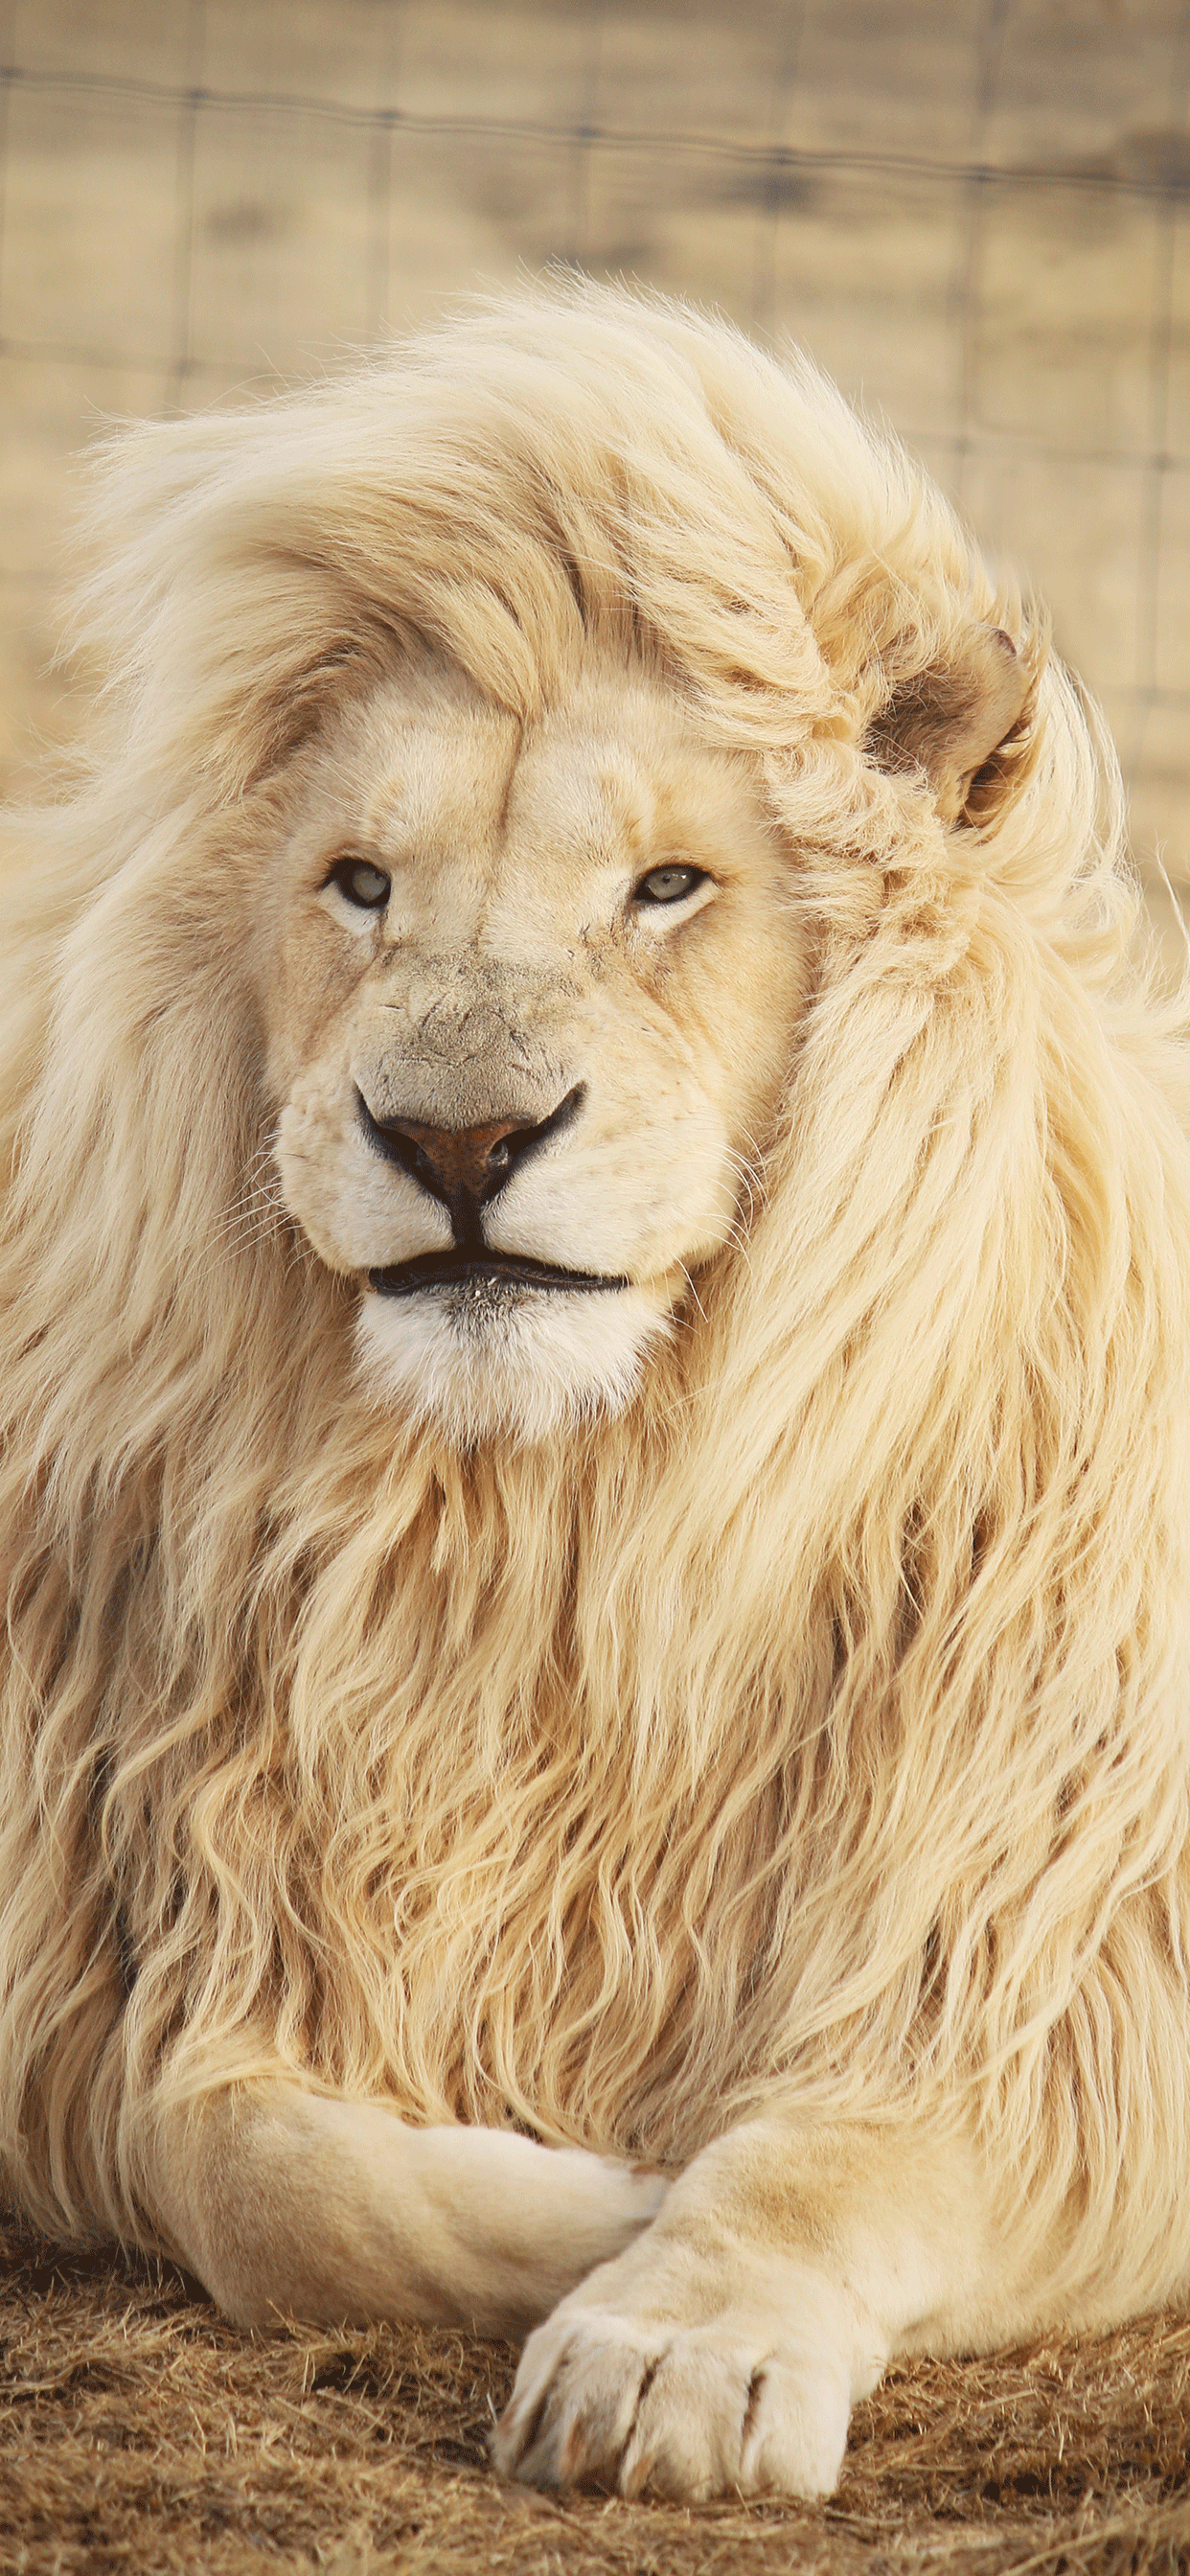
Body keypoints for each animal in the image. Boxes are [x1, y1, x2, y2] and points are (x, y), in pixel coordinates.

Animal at [3, 280, 1190, 2507]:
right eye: (360, 884)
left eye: (667, 888)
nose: (456, 1140)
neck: (556, 1529)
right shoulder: (116, 1953)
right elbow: (244, 2161)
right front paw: (591, 2204)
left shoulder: (1063, 1955)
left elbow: (833, 2149)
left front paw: (671, 2336)